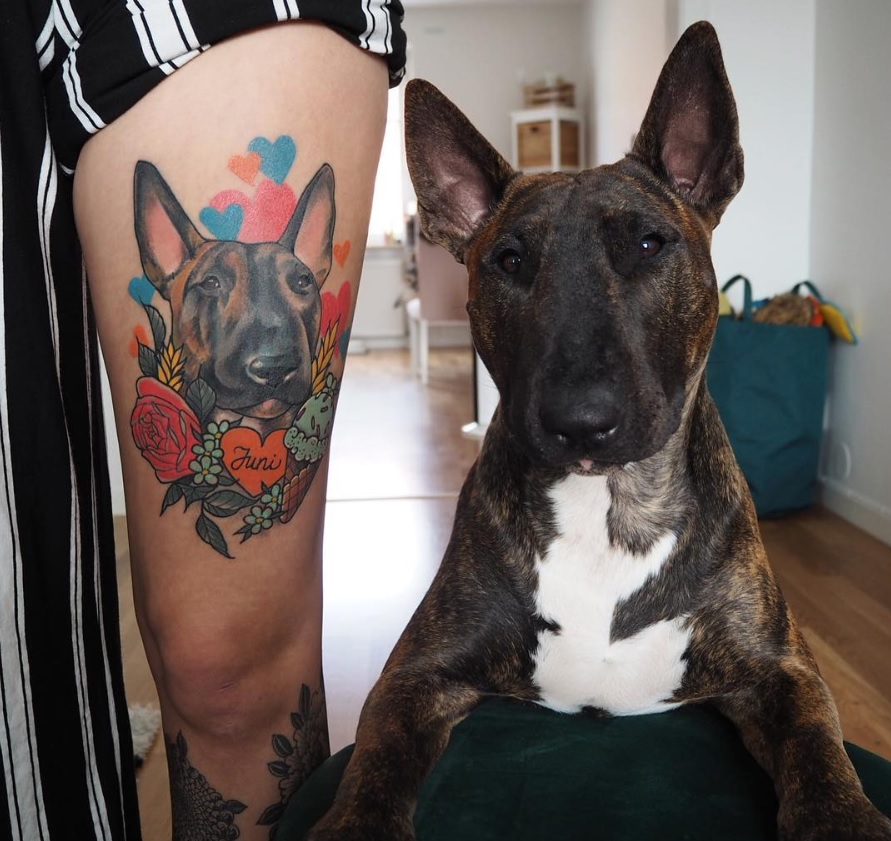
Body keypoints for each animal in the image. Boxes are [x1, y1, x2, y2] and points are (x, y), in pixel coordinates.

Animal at [308, 19, 891, 840]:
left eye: (648, 243)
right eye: (508, 259)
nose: (580, 423)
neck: (611, 508)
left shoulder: (781, 668)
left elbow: (819, 744)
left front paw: (841, 817)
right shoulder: (418, 670)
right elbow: (376, 761)